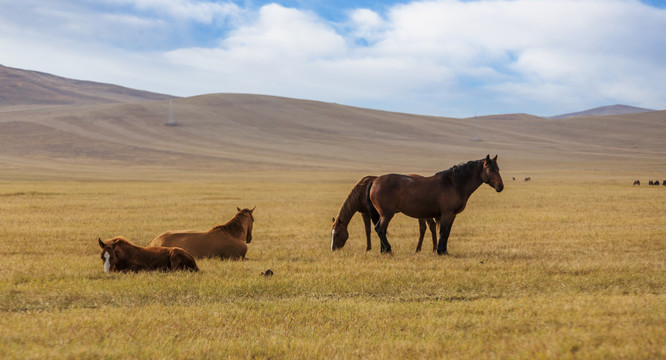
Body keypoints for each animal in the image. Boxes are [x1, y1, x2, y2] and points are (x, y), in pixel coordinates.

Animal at [366, 156, 500, 255]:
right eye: (491, 169)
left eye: (498, 169)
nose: (500, 186)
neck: (453, 184)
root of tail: (375, 181)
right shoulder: (446, 214)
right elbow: (443, 232)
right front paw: (440, 251)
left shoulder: (453, 215)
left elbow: (447, 232)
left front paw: (445, 251)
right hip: (387, 214)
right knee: (379, 229)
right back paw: (388, 249)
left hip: (384, 214)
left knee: (381, 230)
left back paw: (383, 250)